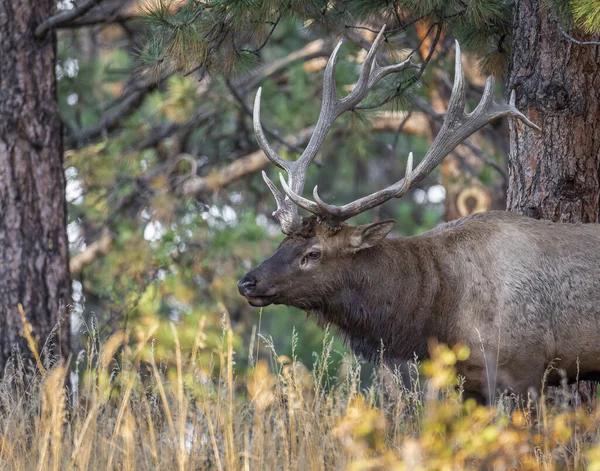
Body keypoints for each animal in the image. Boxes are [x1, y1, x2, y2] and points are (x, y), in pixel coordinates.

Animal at [237, 26, 600, 402]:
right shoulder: (469, 383)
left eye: (313, 253)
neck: (437, 319)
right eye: (282, 244)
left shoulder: (525, 368)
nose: (247, 282)